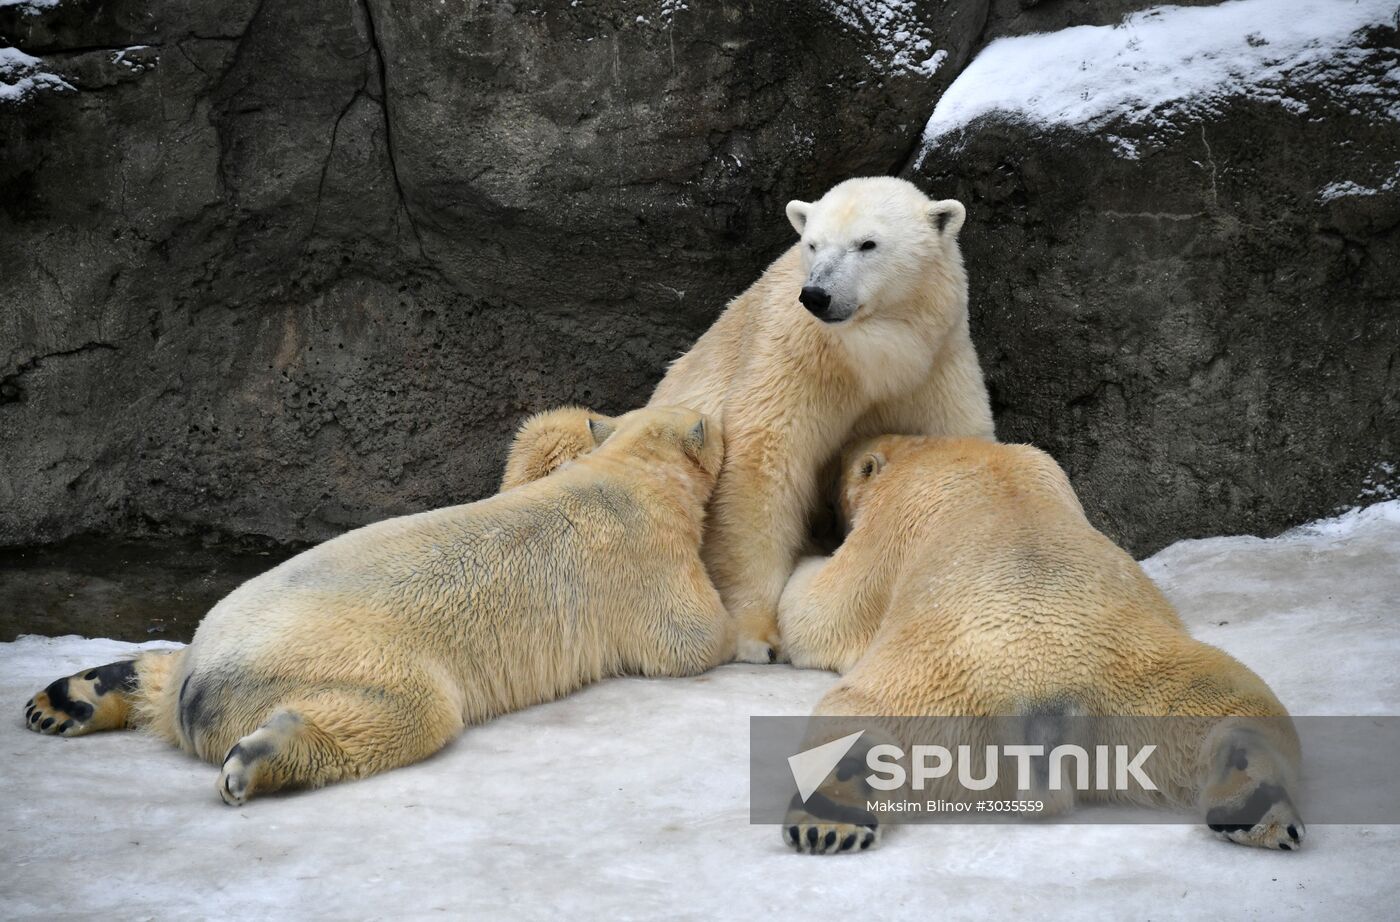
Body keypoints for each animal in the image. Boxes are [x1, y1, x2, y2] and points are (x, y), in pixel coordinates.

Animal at [23, 407, 732, 805]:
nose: (722, 423)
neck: (627, 476)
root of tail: (199, 686)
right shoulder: (644, 558)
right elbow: (689, 638)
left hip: (216, 637)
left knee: (161, 672)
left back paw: (69, 698)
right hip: (347, 659)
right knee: (409, 713)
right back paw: (259, 761)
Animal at [650, 176, 994, 663]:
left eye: (867, 244)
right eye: (812, 244)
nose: (817, 295)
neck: (869, 356)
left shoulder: (936, 368)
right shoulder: (796, 355)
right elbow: (764, 462)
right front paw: (757, 637)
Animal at [776, 436, 1303, 854]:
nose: (825, 509)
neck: (934, 447)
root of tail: (1043, 700)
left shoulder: (890, 523)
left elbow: (821, 610)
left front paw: (805, 561)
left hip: (931, 691)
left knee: (859, 721)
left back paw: (829, 817)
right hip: (1149, 690)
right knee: (1238, 705)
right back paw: (1254, 804)